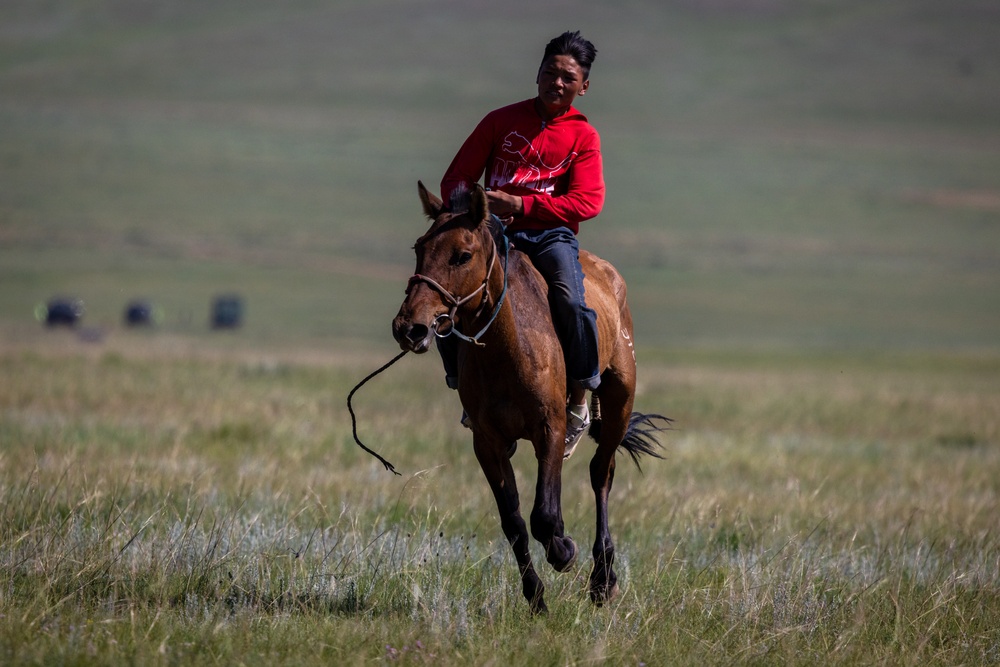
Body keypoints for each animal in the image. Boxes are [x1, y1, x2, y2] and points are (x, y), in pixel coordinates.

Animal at [394, 183, 668, 616]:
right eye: (419, 247)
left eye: (462, 255)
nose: (409, 327)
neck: (506, 347)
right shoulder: (487, 443)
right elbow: (514, 521)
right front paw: (536, 596)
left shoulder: (549, 429)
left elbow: (544, 515)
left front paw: (564, 551)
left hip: (619, 400)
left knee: (601, 473)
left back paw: (603, 579)